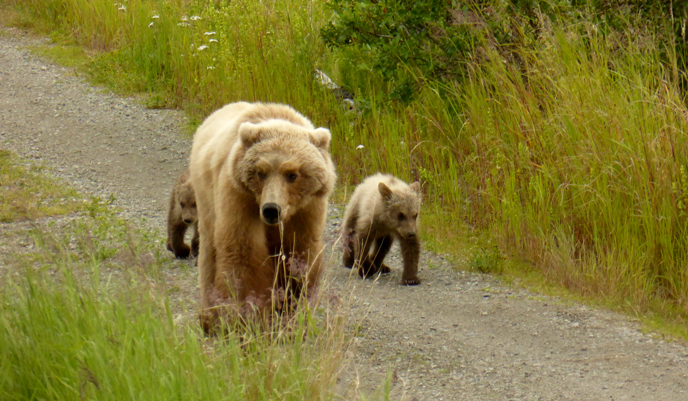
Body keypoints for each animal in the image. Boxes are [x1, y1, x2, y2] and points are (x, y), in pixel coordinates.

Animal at [191, 101, 336, 332]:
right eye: (260, 172)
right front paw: (248, 315)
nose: (271, 209)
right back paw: (210, 318)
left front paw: (290, 311)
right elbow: (244, 253)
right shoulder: (241, 198)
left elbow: (299, 255)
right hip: (207, 203)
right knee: (210, 255)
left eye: (292, 174)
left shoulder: (307, 210)